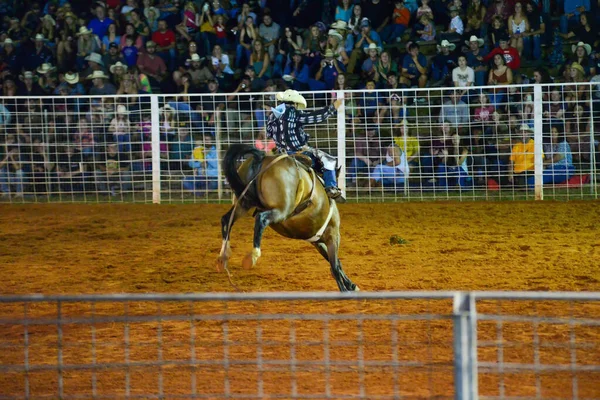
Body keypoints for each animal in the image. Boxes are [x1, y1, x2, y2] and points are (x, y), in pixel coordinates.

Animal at [218, 144, 358, 290]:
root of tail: (261, 157)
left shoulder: (317, 241)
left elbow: (336, 264)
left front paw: (351, 285)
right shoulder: (333, 234)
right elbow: (335, 266)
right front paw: (345, 289)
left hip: (243, 203)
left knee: (226, 220)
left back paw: (223, 256)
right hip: (281, 210)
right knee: (261, 219)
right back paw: (252, 256)